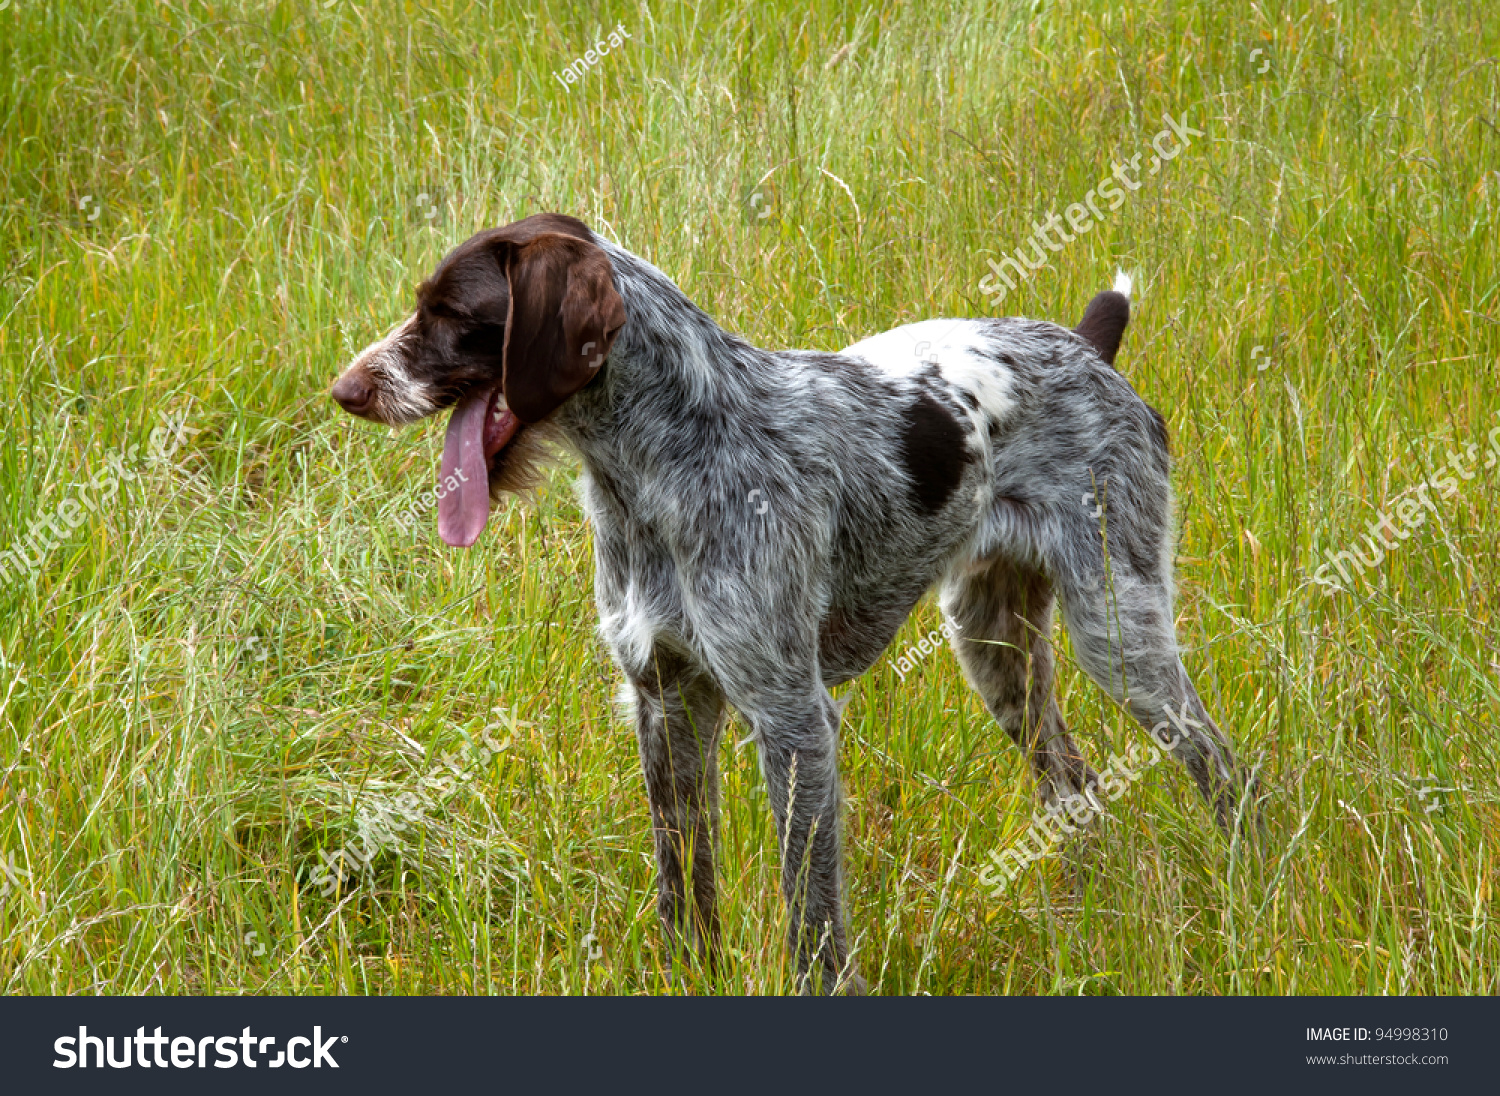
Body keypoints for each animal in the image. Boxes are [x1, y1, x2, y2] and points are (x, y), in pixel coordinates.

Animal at [334, 212, 1248, 995]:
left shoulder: (792, 718)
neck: (660, 463)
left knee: (1226, 769)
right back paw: (1085, 904)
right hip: (996, 650)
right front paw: (690, 979)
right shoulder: (664, 701)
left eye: (453, 314)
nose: (345, 390)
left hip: (1120, 636)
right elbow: (684, 882)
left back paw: (1255, 879)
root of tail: (1090, 352)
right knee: (1074, 782)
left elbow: (809, 906)